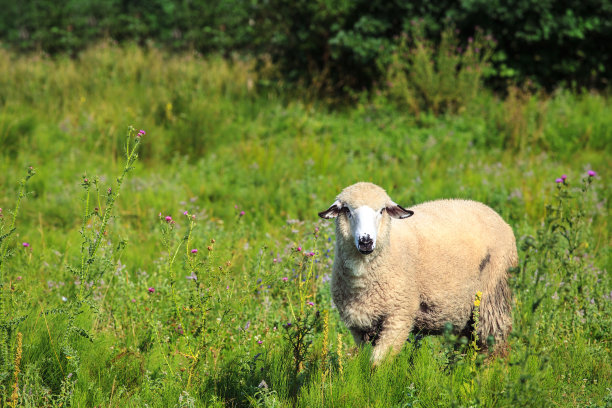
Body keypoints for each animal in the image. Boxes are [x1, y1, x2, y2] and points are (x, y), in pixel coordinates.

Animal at [320, 182, 516, 364]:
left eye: (382, 210)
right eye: (347, 210)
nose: (366, 241)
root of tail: (492, 212)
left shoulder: (399, 315)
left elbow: (378, 364)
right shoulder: (359, 326)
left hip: (492, 297)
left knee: (494, 345)